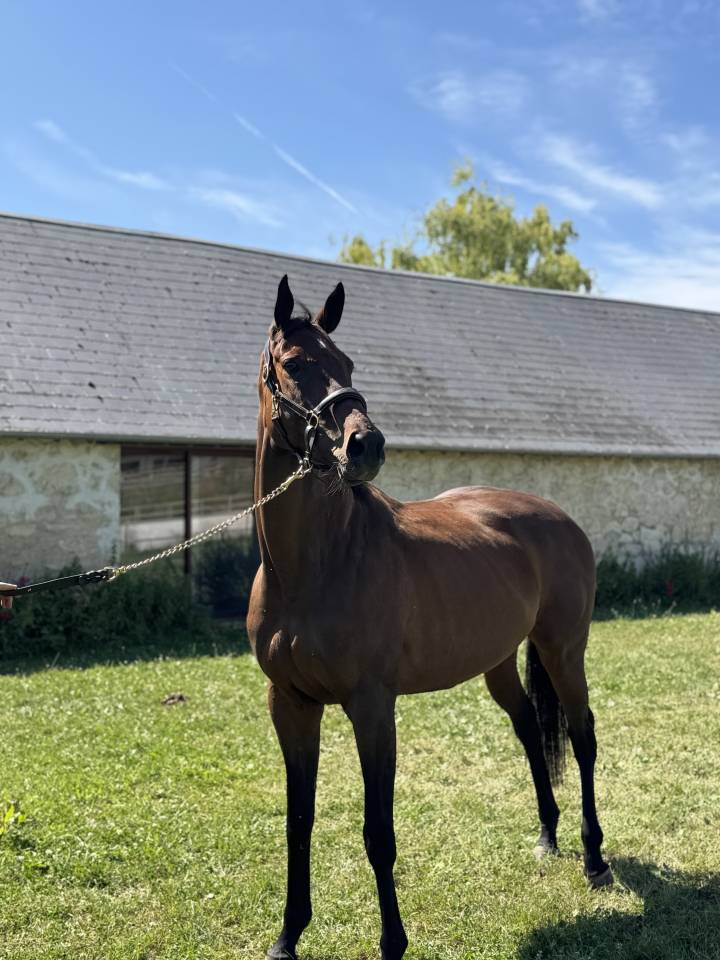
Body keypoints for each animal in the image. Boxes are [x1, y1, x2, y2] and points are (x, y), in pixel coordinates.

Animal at [247, 275, 612, 960]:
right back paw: (547, 837)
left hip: (562, 648)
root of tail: (558, 516)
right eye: (296, 364)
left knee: (582, 736)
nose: (365, 445)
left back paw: (594, 858)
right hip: (499, 661)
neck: (313, 566)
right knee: (530, 730)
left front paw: (393, 942)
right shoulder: (290, 704)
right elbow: (297, 822)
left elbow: (378, 833)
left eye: (348, 364)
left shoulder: (371, 707)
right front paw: (288, 936)